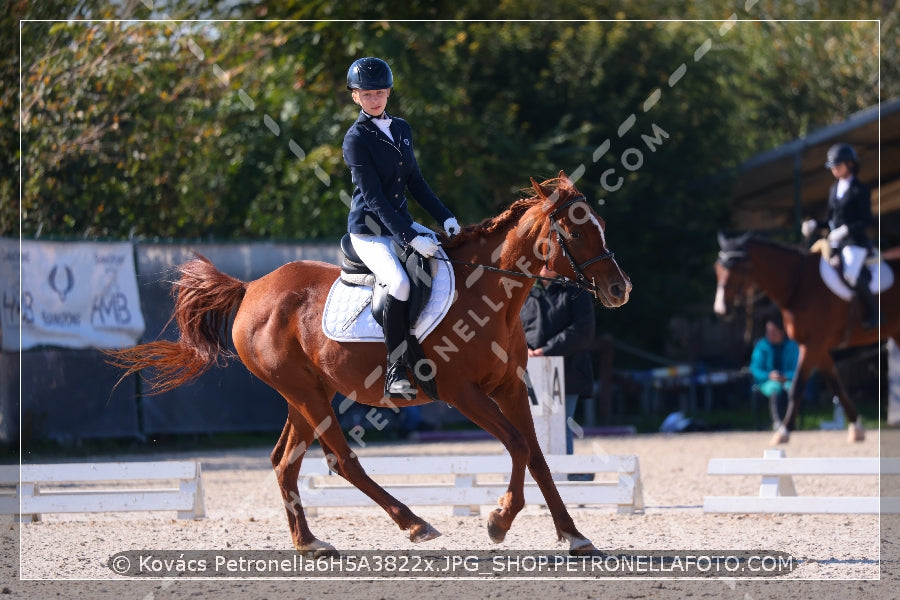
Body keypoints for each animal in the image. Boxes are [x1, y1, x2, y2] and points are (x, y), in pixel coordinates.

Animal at [109, 172, 632, 552]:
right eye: (575, 230)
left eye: (602, 226)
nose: (619, 289)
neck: (491, 297)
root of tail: (251, 288)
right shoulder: (463, 393)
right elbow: (518, 446)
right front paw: (499, 521)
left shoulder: (509, 386)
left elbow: (538, 455)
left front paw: (574, 535)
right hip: (305, 392)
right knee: (342, 460)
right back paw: (413, 523)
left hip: (309, 393)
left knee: (284, 461)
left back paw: (310, 543)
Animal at [712, 233, 896, 446]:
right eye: (717, 268)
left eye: (740, 268)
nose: (721, 309)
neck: (797, 284)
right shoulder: (818, 347)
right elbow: (836, 385)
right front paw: (856, 428)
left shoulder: (812, 344)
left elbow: (797, 387)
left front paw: (783, 432)